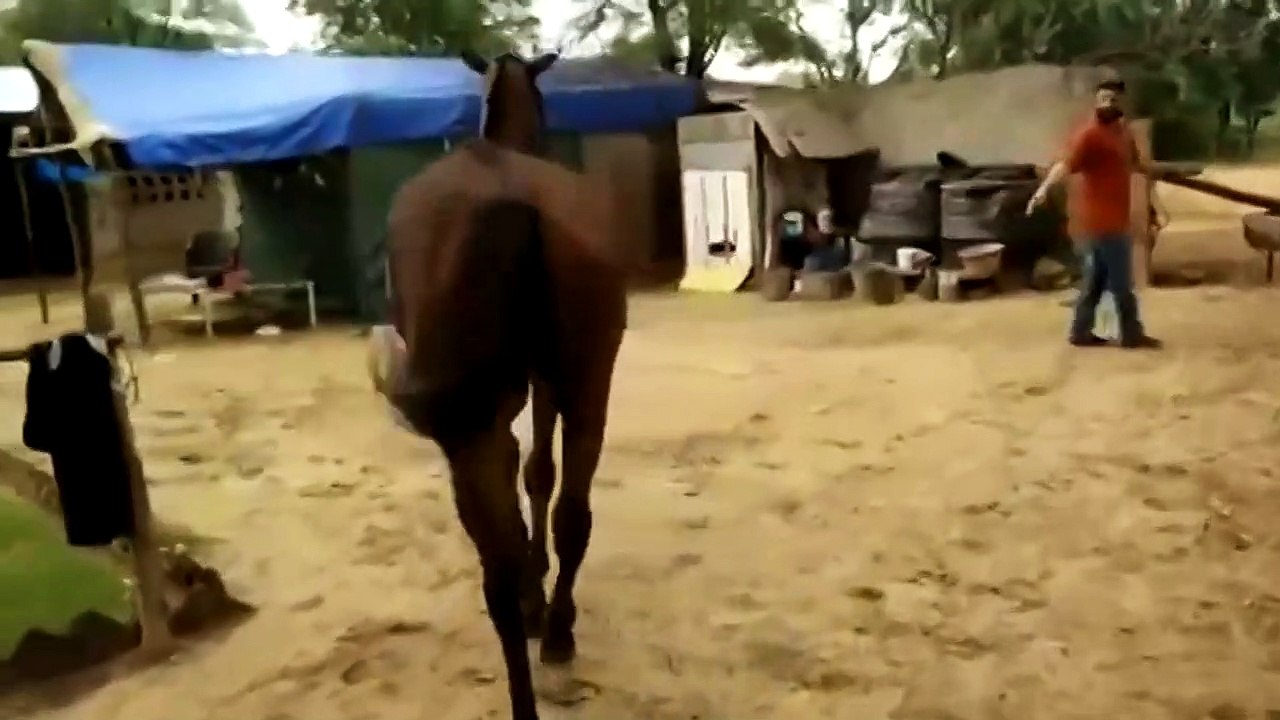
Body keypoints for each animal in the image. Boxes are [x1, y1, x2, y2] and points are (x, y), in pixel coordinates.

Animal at [372, 51, 627, 720]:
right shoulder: (544, 382)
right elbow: (538, 472)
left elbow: (526, 475)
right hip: (584, 380)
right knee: (568, 517)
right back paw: (556, 634)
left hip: (469, 426)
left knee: (498, 564)